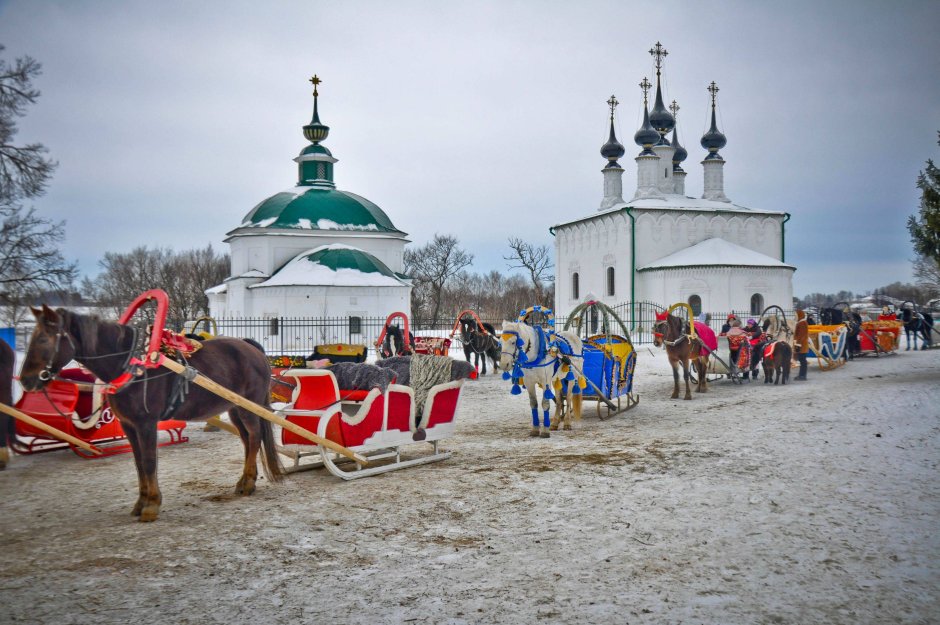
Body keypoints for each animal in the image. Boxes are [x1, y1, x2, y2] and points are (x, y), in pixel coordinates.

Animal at [19, 304, 282, 520]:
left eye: (43, 340)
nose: (26, 380)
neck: (131, 364)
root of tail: (250, 346)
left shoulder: (146, 423)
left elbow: (148, 461)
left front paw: (151, 505)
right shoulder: (129, 425)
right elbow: (138, 462)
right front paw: (141, 502)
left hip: (248, 407)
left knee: (255, 436)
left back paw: (248, 483)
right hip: (235, 407)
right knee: (247, 440)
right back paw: (246, 480)